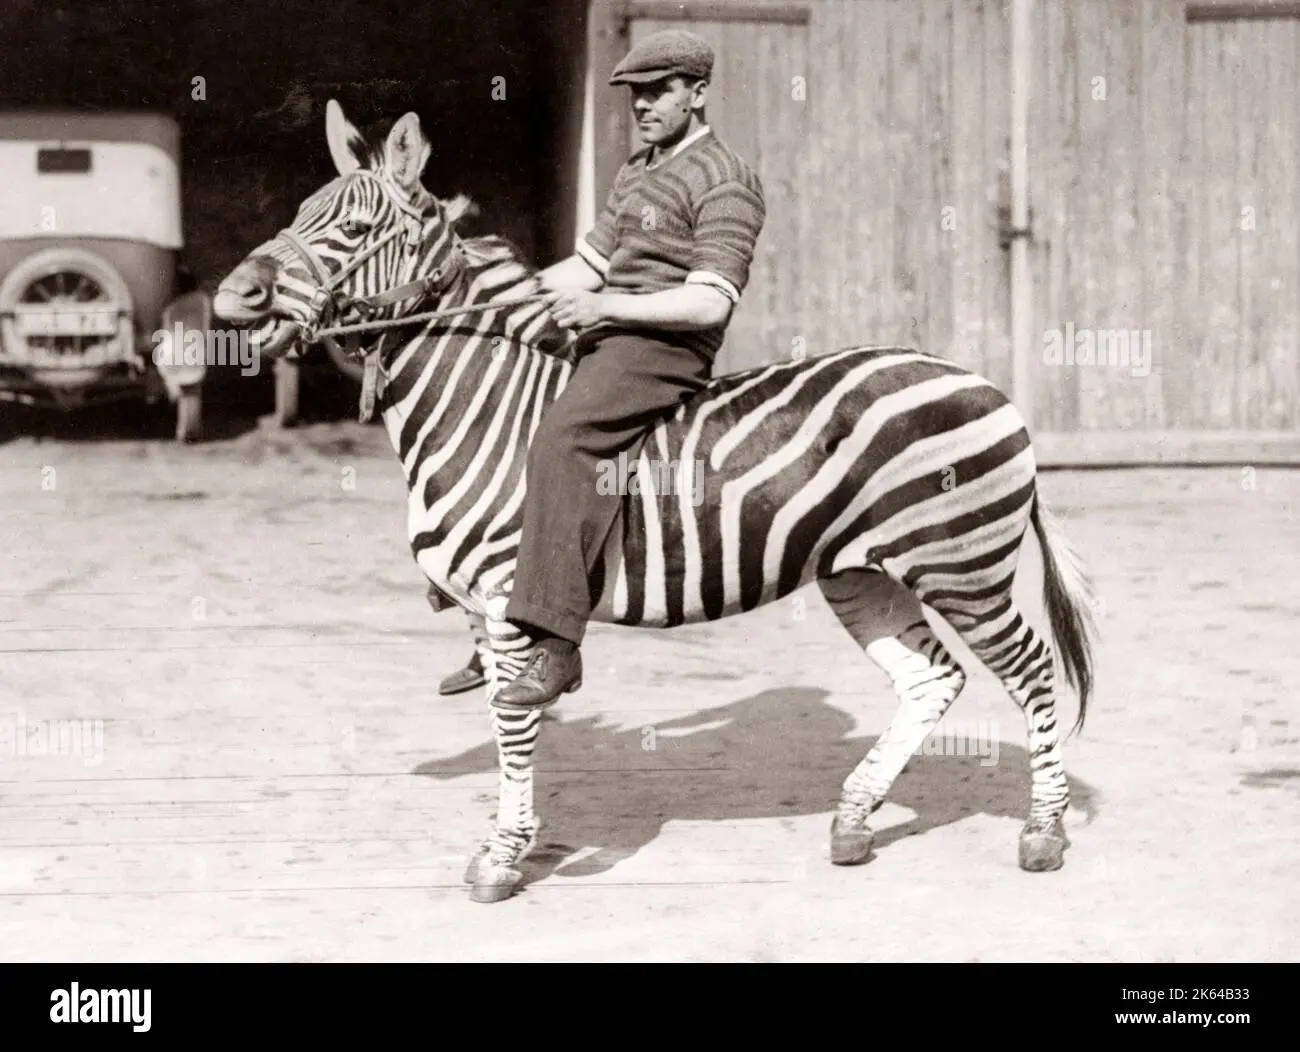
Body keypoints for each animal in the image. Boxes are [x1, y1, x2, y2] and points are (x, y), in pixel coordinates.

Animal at [214, 100, 1097, 904]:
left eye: (357, 229)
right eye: (299, 212)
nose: (229, 298)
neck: (484, 406)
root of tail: (989, 385)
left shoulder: (504, 601)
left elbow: (513, 722)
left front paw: (502, 857)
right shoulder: (479, 610)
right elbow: (507, 724)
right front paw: (518, 839)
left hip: (962, 568)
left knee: (1034, 673)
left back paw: (1043, 834)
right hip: (861, 571)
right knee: (930, 679)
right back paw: (853, 821)